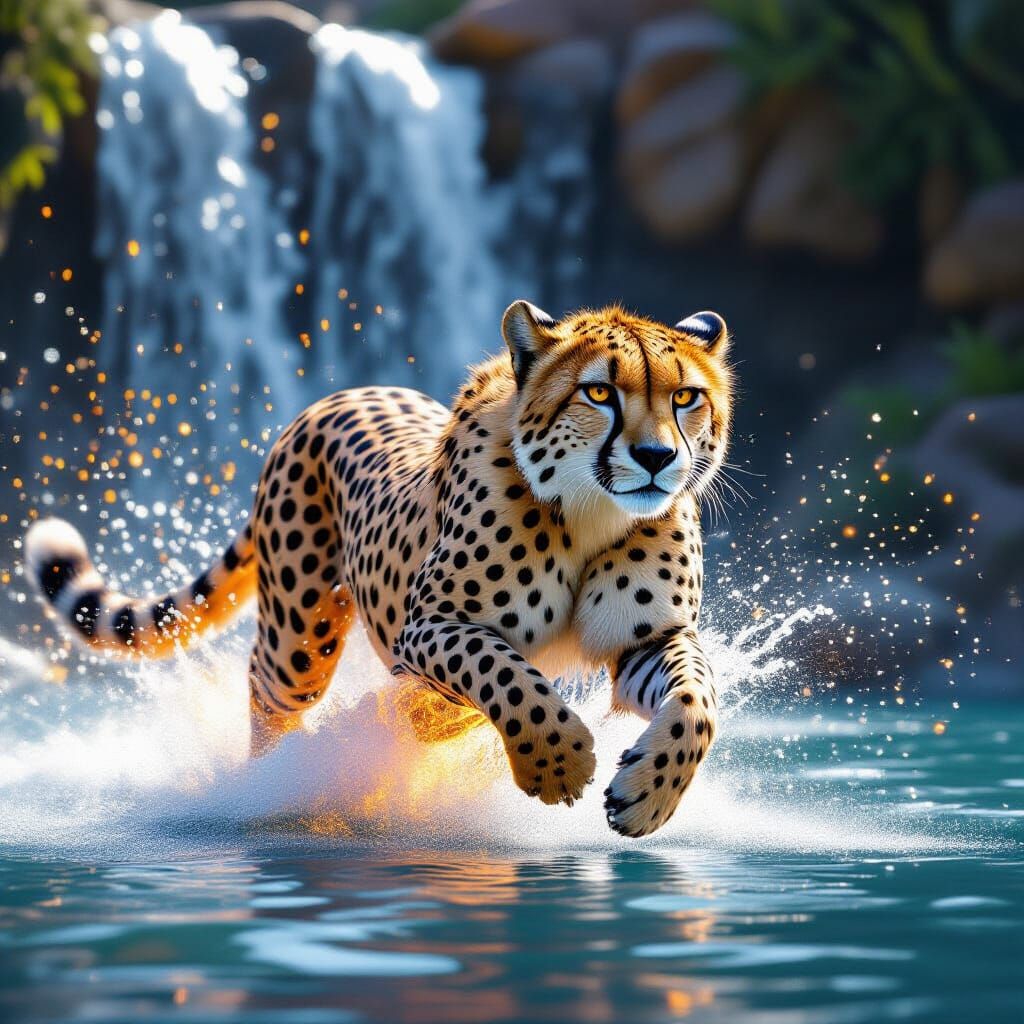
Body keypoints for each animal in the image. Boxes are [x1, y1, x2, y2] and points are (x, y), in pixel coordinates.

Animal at [25, 301, 734, 837]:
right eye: (599, 392)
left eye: (686, 397)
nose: (656, 458)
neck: (589, 514)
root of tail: (343, 392)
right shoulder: (429, 628)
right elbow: (507, 675)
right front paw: (556, 763)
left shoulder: (650, 640)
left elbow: (697, 702)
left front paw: (649, 793)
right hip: (298, 645)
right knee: (266, 689)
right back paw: (271, 784)